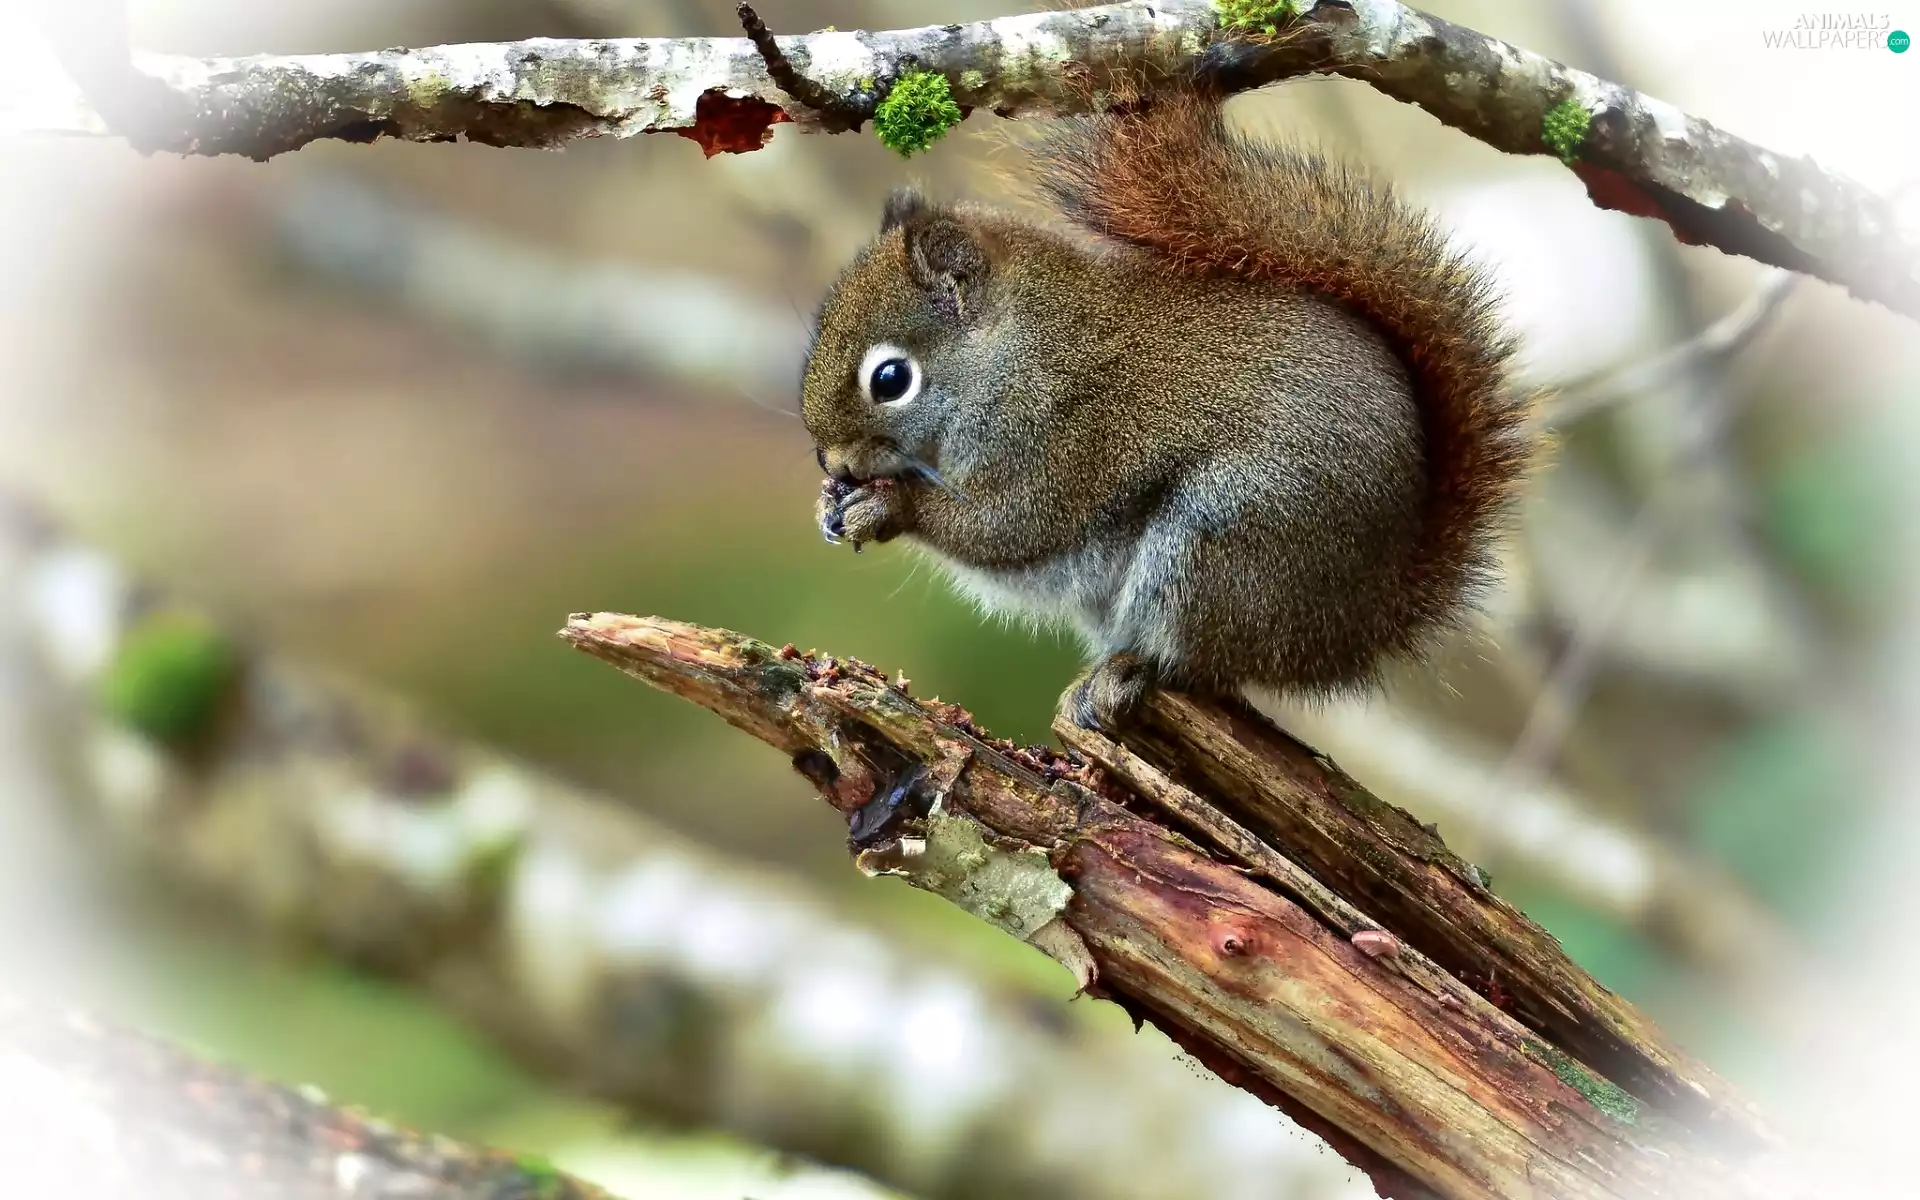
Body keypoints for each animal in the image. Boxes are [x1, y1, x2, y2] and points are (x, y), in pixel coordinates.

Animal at [800, 77, 1535, 732]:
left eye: (890, 379)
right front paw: (831, 504)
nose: (832, 461)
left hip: (1222, 542)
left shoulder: (1062, 436)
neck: (1020, 351)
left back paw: (1127, 676)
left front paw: (887, 506)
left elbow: (1006, 528)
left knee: (1203, 665)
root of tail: (1362, 623)